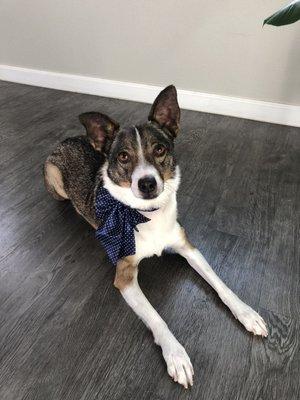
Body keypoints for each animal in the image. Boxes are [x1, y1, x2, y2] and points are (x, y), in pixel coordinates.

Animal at [44, 84, 268, 388]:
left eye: (160, 149)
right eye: (123, 156)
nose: (147, 183)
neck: (146, 214)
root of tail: (68, 138)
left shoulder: (188, 247)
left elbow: (220, 283)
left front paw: (247, 313)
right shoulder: (125, 276)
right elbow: (156, 317)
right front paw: (176, 356)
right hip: (54, 178)